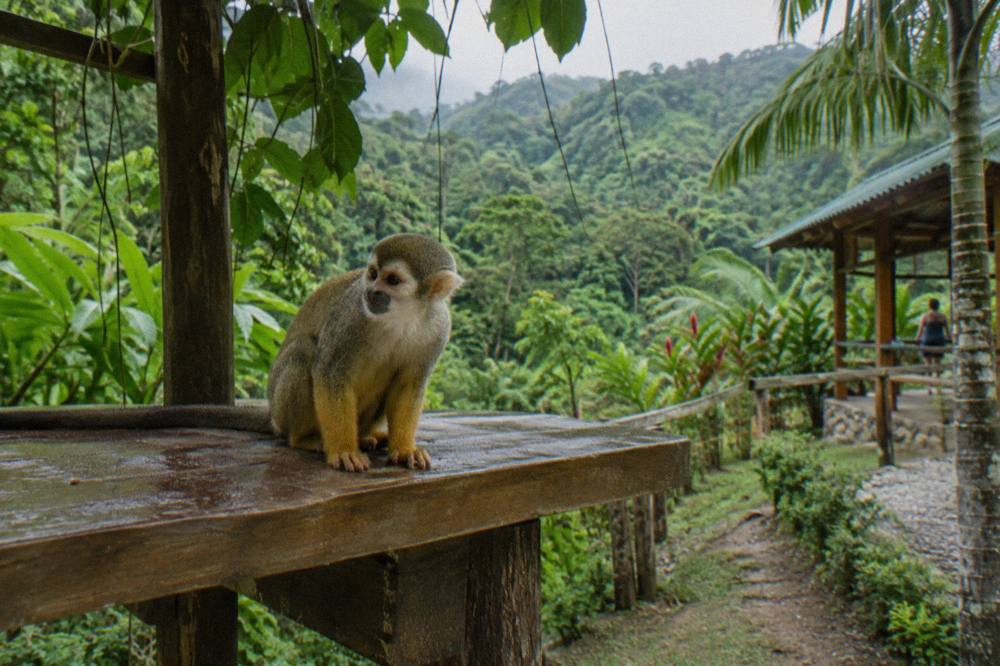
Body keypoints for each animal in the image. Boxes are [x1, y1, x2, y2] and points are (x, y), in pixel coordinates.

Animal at [267, 234, 463, 472]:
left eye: (393, 280)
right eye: (373, 274)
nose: (371, 291)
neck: (402, 316)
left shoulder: (439, 328)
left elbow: (408, 385)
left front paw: (404, 449)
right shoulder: (352, 314)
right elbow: (330, 373)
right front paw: (344, 451)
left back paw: (367, 437)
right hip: (280, 410)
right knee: (305, 351)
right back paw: (303, 439)